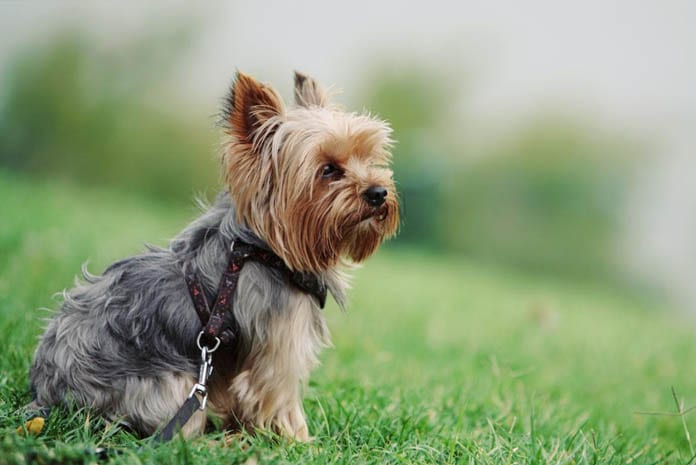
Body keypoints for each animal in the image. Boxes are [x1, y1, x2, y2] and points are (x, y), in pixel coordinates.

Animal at [28, 70, 396, 440]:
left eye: (369, 158)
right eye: (329, 170)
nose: (379, 192)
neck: (264, 249)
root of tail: (48, 394)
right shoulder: (279, 349)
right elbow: (280, 401)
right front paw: (301, 443)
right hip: (170, 385)